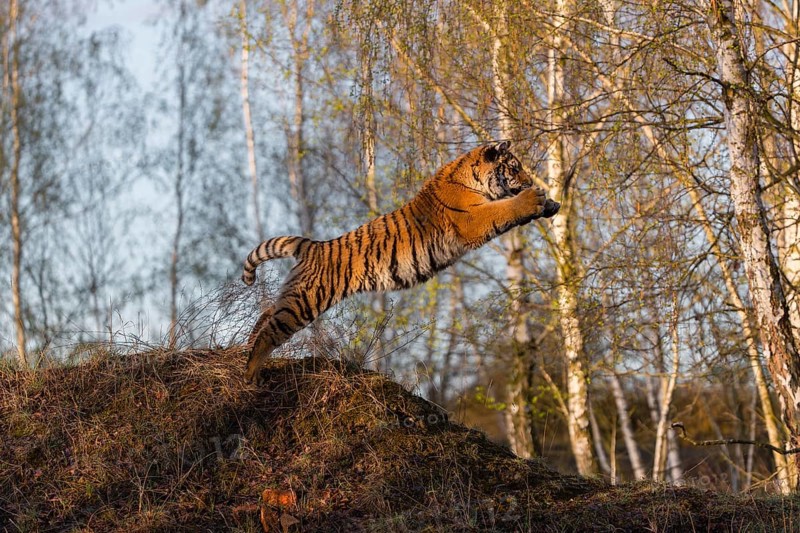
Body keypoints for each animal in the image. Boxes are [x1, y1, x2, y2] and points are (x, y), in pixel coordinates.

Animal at [241, 141, 560, 384]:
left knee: (267, 314)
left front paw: (551, 204)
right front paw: (533, 199)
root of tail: (312, 245)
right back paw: (250, 373)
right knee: (271, 330)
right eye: (514, 167)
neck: (469, 176)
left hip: (295, 297)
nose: (529, 182)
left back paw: (243, 352)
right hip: (304, 301)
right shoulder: (473, 219)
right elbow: (504, 209)